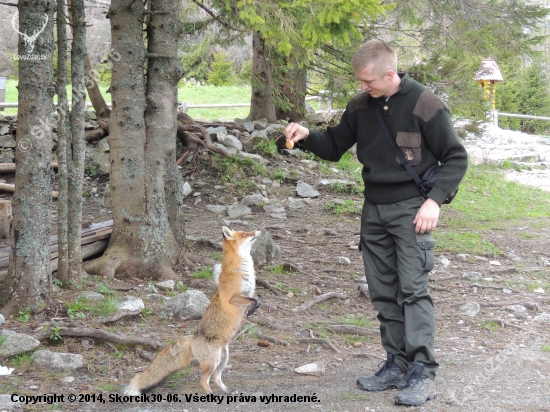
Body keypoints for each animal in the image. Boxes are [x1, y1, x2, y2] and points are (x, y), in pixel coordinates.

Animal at [125, 227, 264, 394]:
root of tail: (193, 337)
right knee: (204, 380)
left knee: (216, 378)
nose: (258, 230)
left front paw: (254, 308)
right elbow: (253, 300)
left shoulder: (249, 292)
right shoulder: (233, 297)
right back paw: (211, 394)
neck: (240, 270)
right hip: (213, 362)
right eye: (244, 234)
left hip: (223, 359)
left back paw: (226, 391)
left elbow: (259, 297)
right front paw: (252, 309)